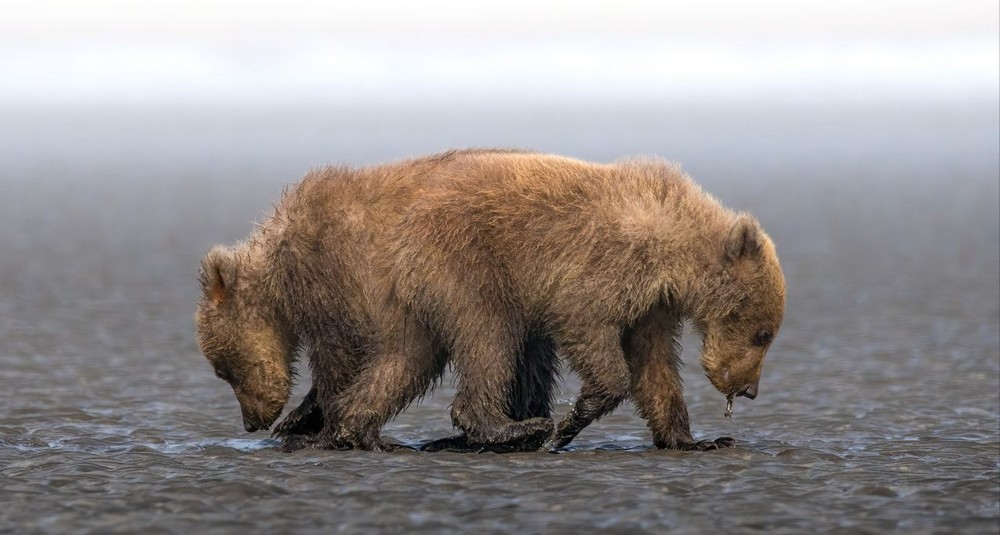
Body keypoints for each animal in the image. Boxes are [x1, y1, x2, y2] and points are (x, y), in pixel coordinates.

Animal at [386, 152, 784, 452]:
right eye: (763, 334)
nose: (750, 390)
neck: (672, 252)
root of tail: (412, 215)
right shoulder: (609, 263)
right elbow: (585, 324)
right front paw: (568, 424)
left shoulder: (653, 306)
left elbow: (655, 365)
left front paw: (697, 440)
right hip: (467, 262)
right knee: (489, 336)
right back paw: (516, 427)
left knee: (413, 356)